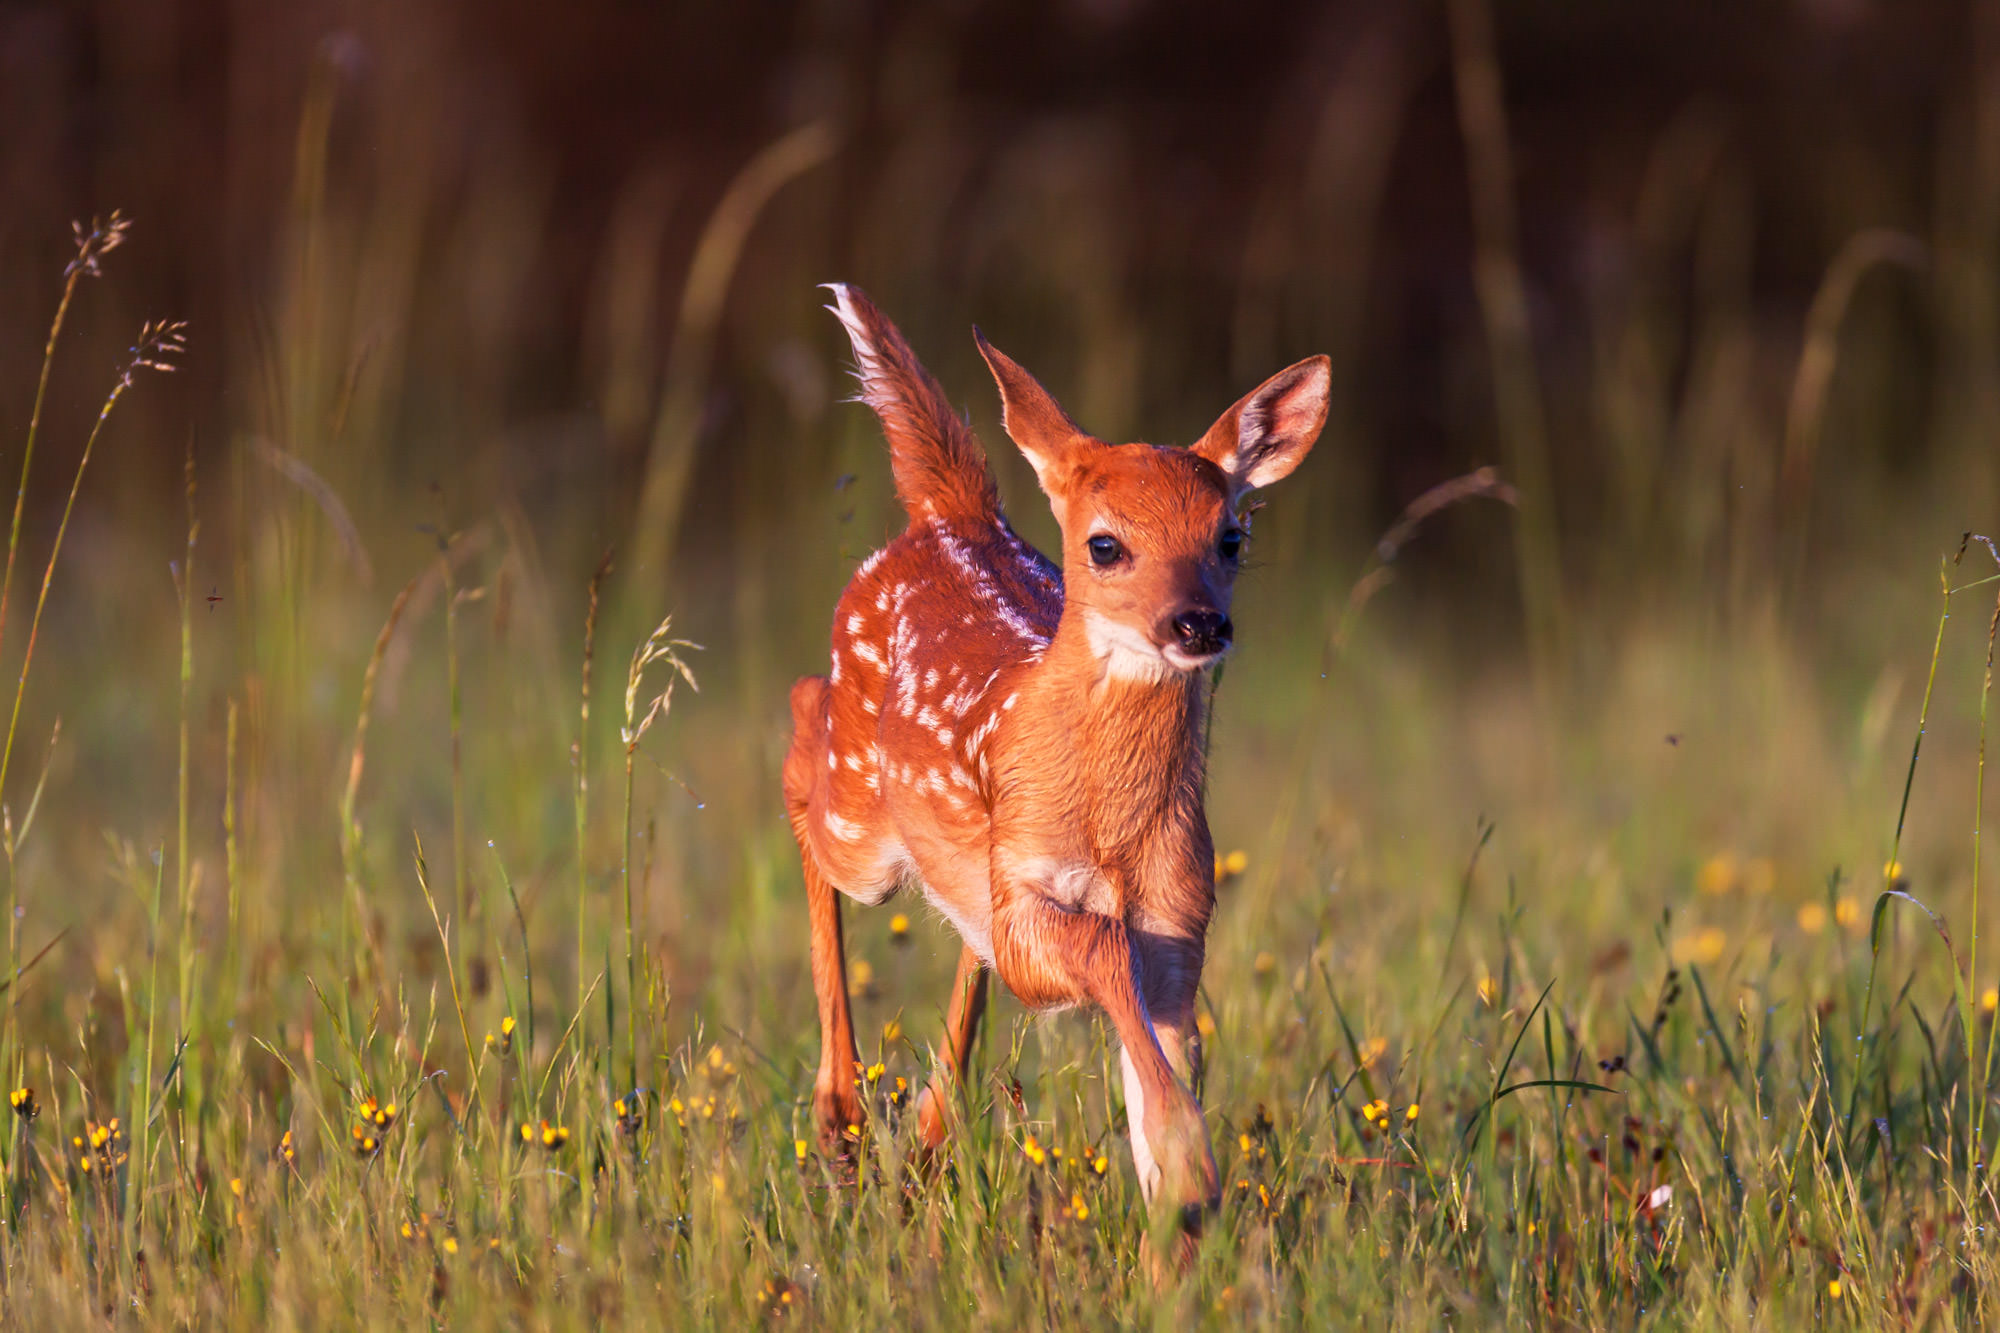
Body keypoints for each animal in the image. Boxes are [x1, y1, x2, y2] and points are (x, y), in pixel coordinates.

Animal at [783, 284, 1328, 1234]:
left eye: (1231, 537)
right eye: (1105, 543)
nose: (1198, 622)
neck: (1111, 830)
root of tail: (952, 512)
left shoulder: (1179, 931)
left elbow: (1158, 1075)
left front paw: (1181, 1199)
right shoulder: (1045, 902)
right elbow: (1098, 947)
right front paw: (1189, 1156)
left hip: (965, 866)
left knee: (967, 935)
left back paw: (924, 1138)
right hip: (864, 827)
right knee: (800, 724)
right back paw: (843, 1115)